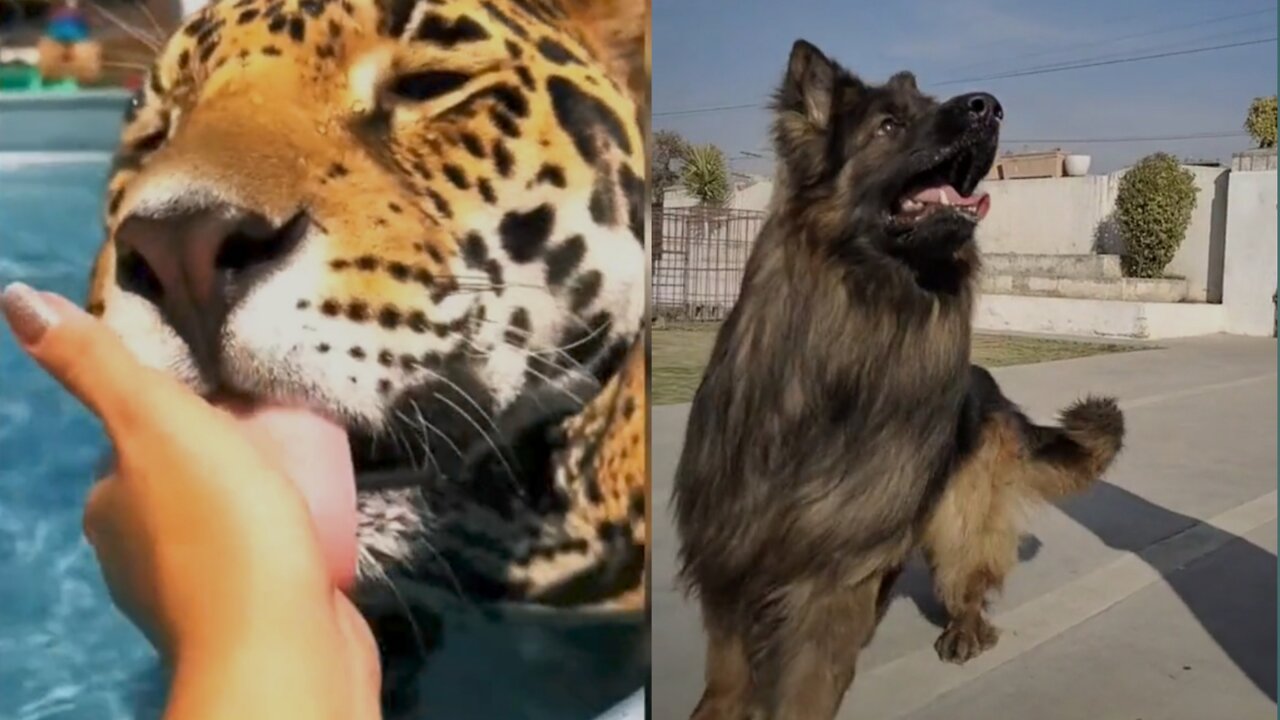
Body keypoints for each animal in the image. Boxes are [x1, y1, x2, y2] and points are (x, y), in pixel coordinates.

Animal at [670, 40, 1121, 717]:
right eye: (889, 126)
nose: (989, 107)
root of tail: (990, 387)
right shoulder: (730, 551)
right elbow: (727, 678)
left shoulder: (830, 580)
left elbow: (805, 691)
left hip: (955, 525)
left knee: (969, 585)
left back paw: (965, 629)